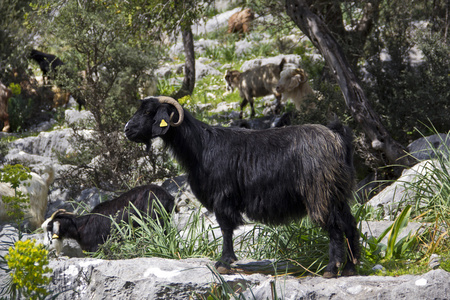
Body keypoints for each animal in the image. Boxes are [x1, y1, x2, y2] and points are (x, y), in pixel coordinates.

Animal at [41, 185, 176, 253]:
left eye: (49, 228)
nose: (44, 246)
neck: (81, 227)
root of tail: (169, 198)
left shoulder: (96, 248)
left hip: (154, 221)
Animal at [125, 96, 360, 278]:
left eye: (148, 111)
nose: (127, 130)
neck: (201, 146)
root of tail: (337, 137)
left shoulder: (223, 197)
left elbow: (226, 228)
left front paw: (224, 263)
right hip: (338, 194)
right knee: (350, 225)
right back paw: (350, 268)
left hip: (321, 193)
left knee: (335, 227)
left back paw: (331, 269)